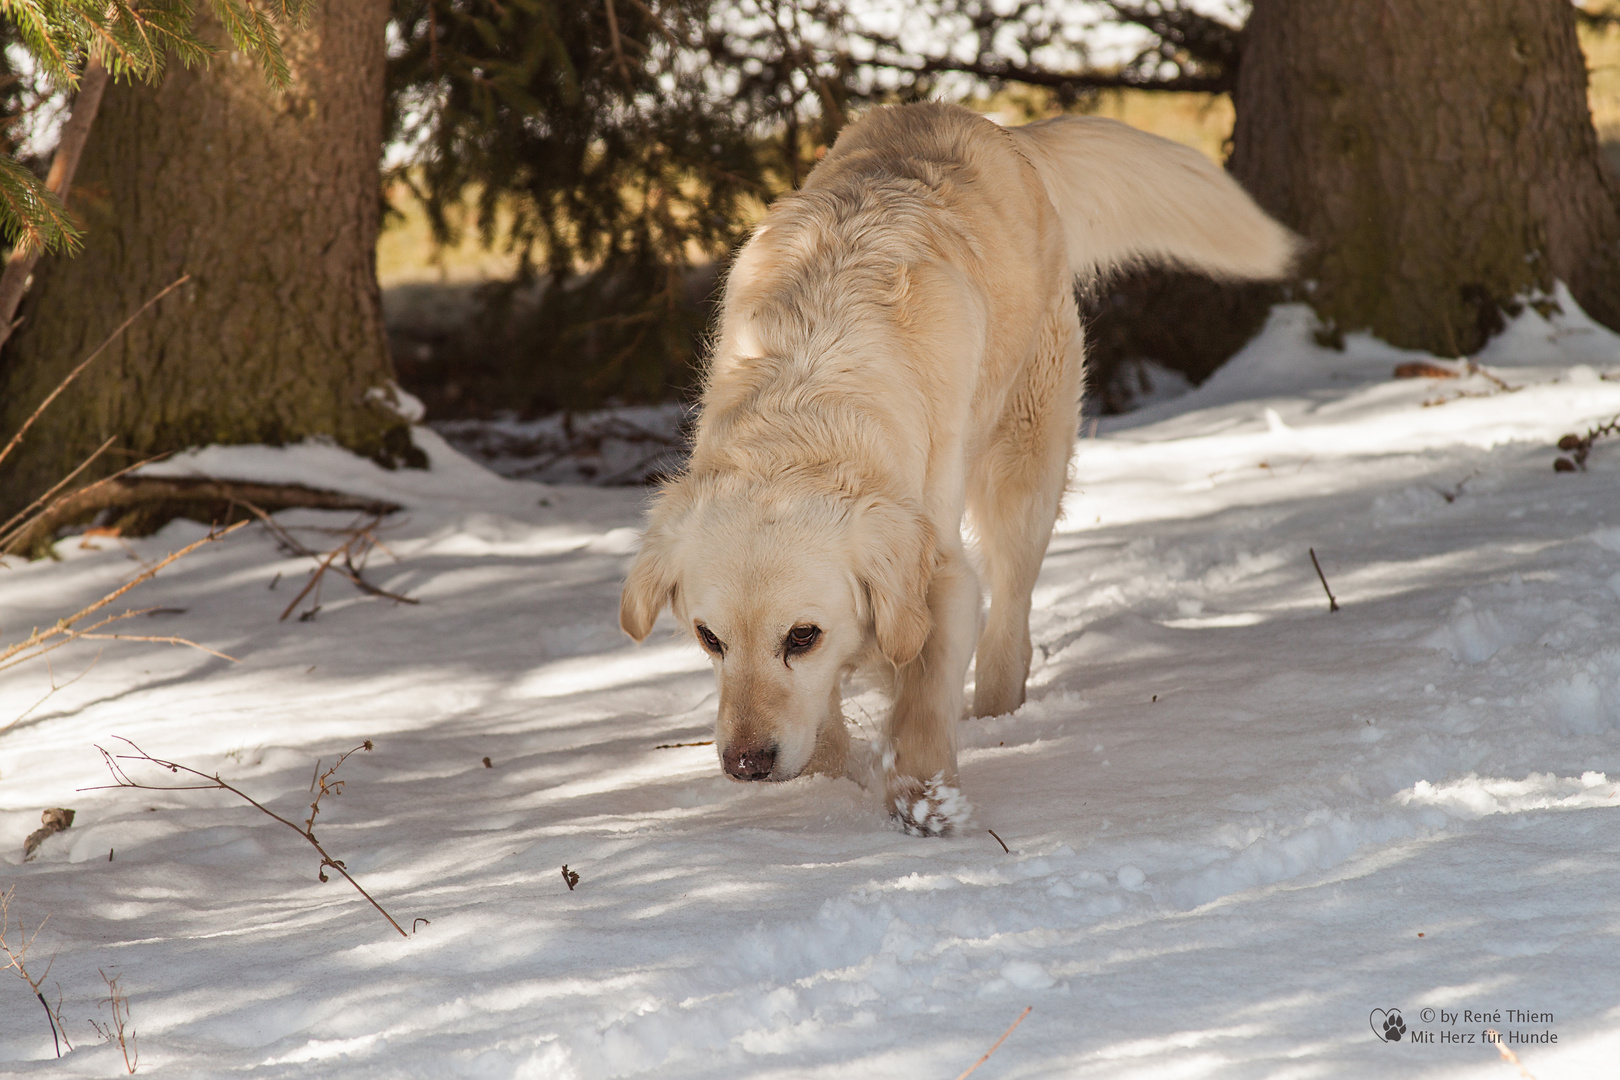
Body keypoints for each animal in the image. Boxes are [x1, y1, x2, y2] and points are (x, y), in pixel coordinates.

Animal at [618, 103, 1289, 835]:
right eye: (708, 638)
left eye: (801, 636)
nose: (747, 764)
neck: (803, 410)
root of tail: (987, 123)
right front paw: (827, 777)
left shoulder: (937, 569)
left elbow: (924, 688)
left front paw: (924, 798)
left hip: (1024, 460)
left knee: (1012, 615)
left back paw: (997, 716)